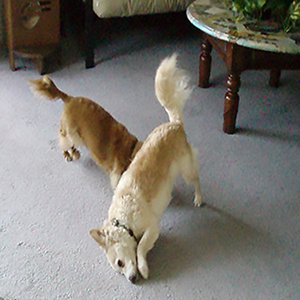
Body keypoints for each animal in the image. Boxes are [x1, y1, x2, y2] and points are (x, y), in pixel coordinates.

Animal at [90, 54, 203, 284]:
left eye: (120, 263)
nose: (131, 280)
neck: (124, 221)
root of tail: (174, 123)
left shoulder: (152, 227)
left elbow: (140, 246)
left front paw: (143, 266)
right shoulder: (151, 231)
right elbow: (141, 244)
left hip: (187, 169)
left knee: (196, 179)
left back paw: (198, 198)